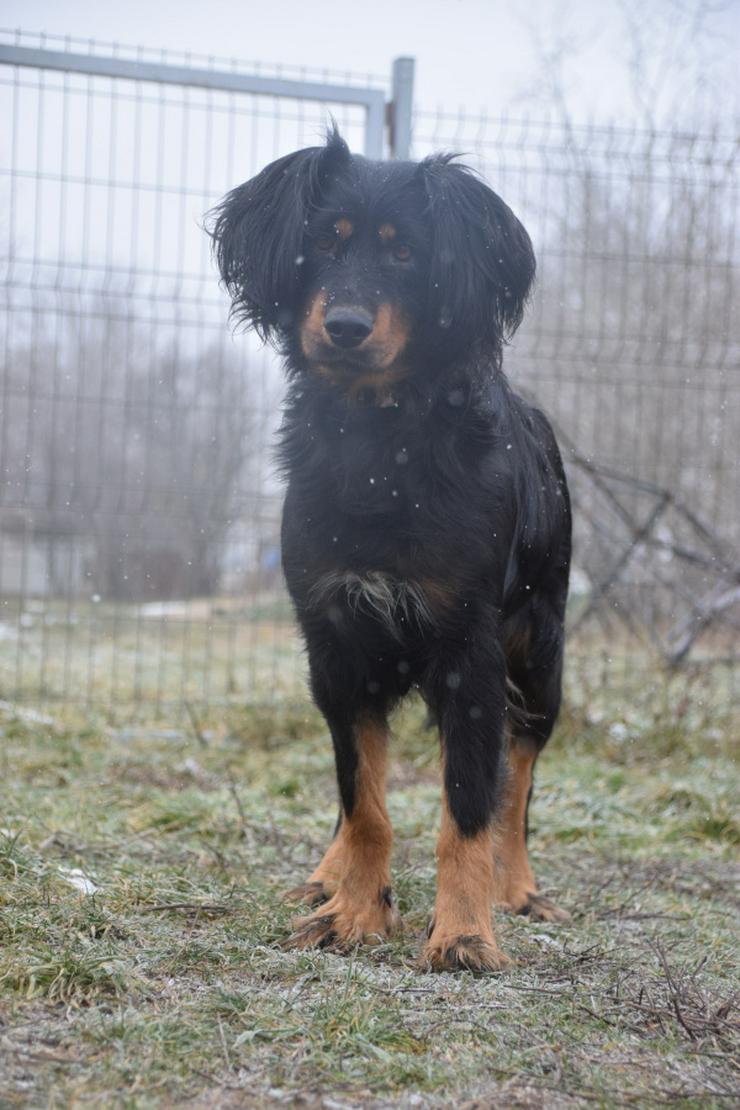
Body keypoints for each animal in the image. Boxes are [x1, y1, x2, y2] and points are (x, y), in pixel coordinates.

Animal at [208, 125, 572, 967]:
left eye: (406, 253)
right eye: (322, 243)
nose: (343, 326)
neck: (380, 445)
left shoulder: (470, 651)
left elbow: (470, 807)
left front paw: (466, 931)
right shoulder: (335, 639)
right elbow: (363, 800)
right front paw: (355, 912)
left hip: (541, 657)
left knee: (519, 778)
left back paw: (517, 887)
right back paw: (326, 874)